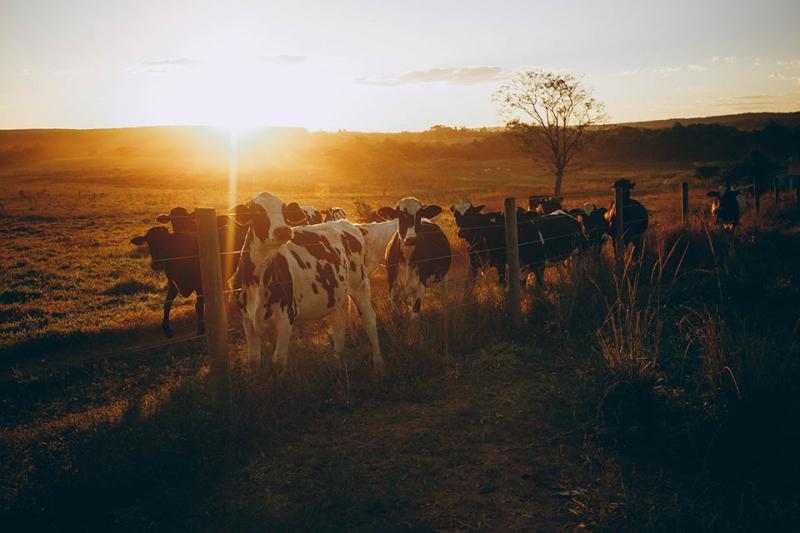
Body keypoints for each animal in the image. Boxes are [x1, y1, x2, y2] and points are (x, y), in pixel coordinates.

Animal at [231, 191, 384, 374]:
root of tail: (347, 224)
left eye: (284, 210)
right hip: (336, 295)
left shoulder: (285, 319)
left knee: (369, 320)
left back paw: (378, 364)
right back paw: (337, 363)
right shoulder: (247, 320)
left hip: (359, 285)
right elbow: (254, 360)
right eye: (257, 211)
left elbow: (278, 361)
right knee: (339, 324)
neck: (258, 279)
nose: (283, 230)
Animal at [380, 197, 454, 342]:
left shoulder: (420, 284)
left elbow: (414, 316)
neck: (407, 258)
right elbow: (396, 313)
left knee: (444, 300)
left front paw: (412, 341)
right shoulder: (391, 284)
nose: (411, 239)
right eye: (400, 215)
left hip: (443, 277)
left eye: (419, 215)